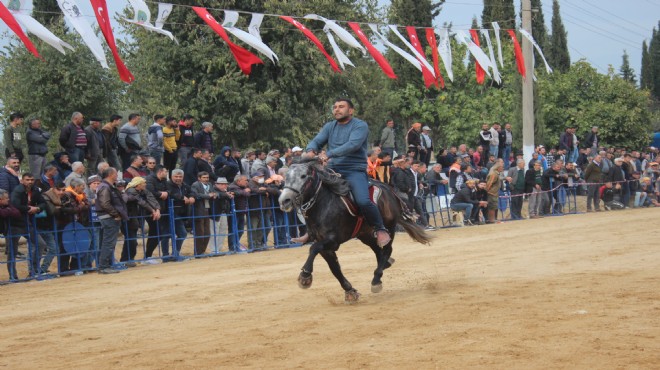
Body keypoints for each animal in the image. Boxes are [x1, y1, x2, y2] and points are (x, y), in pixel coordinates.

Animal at [280, 158, 430, 302]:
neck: (324, 204)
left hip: (388, 227)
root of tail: (391, 191)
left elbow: (314, 249)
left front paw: (305, 276)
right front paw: (350, 291)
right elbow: (335, 268)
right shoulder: (325, 246)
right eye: (286, 177)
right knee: (378, 250)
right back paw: (385, 264)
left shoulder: (332, 240)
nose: (284, 200)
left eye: (303, 176)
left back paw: (376, 279)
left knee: (387, 249)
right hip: (366, 234)